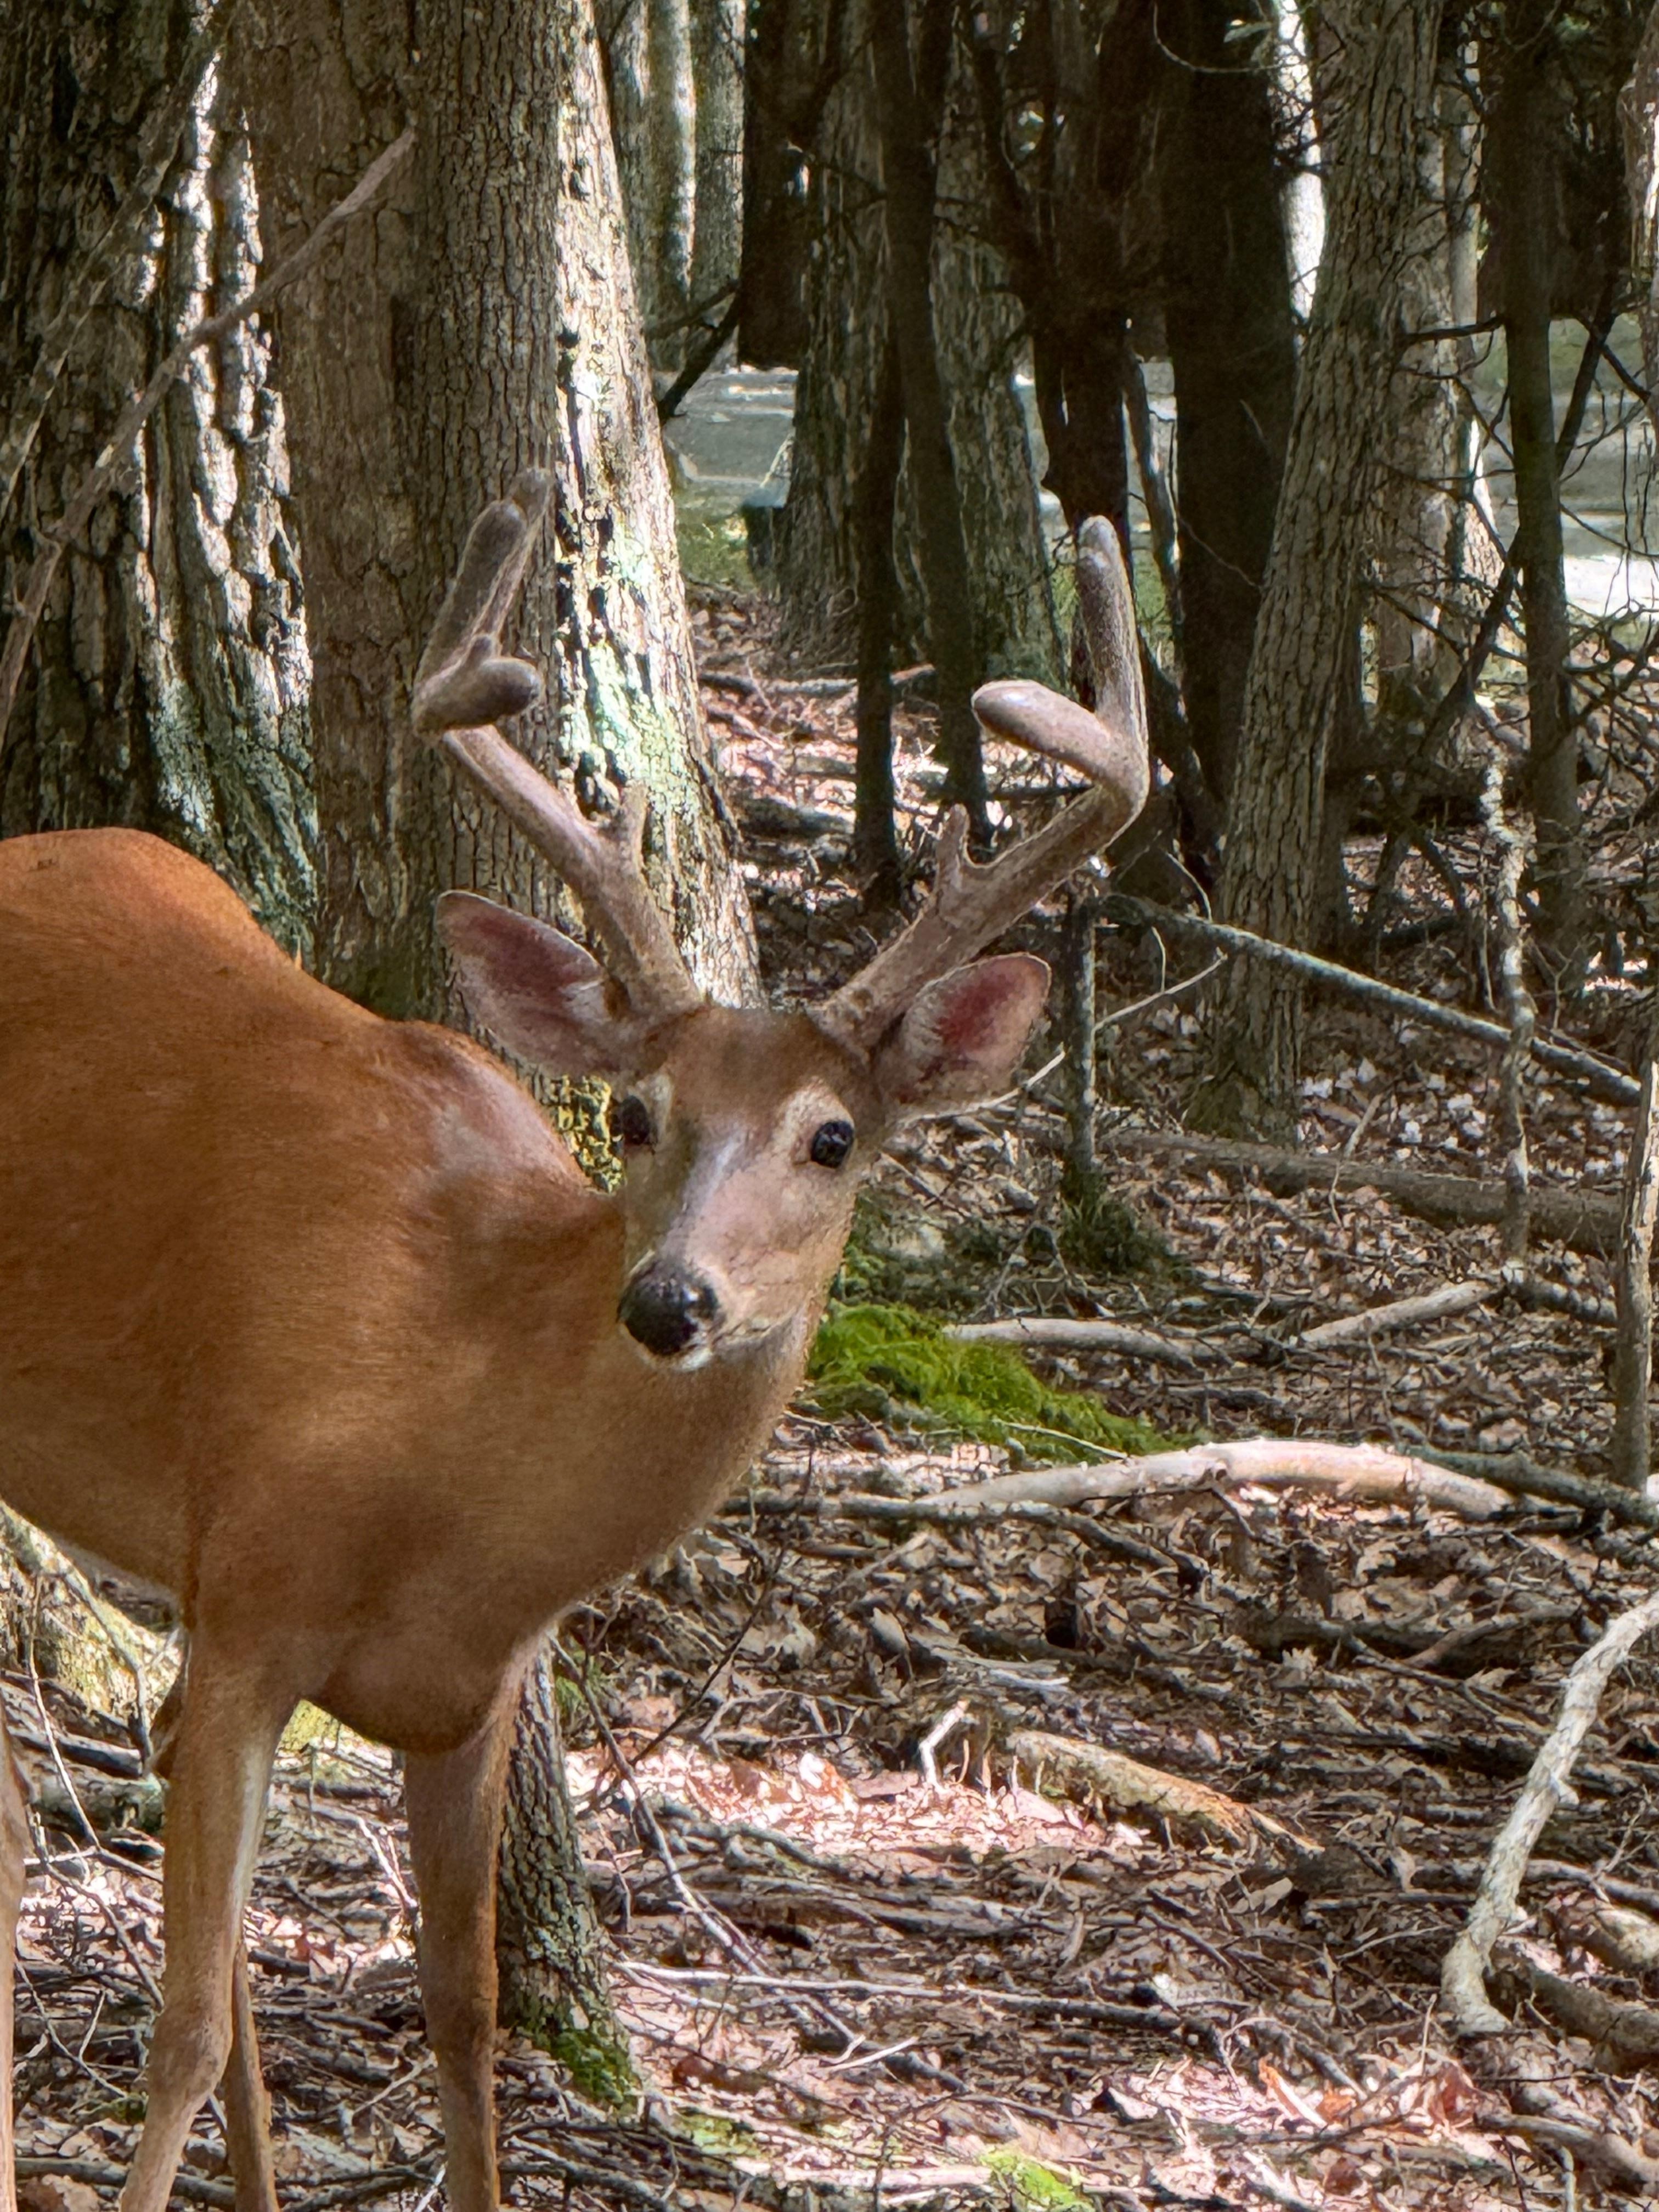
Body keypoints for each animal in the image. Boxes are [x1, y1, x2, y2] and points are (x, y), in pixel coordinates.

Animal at [0, 470, 1147, 2212]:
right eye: (636, 1112)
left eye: (834, 1139)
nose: (671, 1302)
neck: (450, 1428)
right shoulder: (252, 1595)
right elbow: (184, 2024)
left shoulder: (469, 1690)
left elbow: (462, 2018)